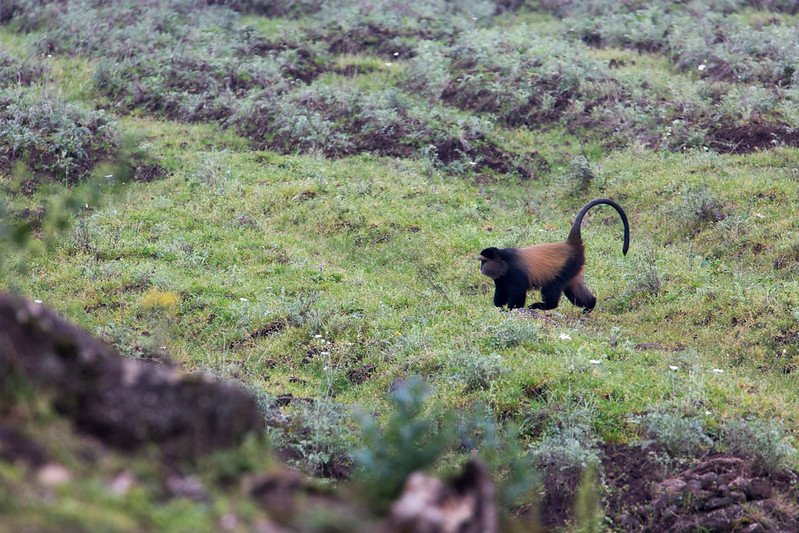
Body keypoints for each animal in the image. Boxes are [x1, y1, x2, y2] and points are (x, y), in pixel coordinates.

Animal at [478, 198, 629, 313]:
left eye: (484, 261)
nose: (481, 268)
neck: (504, 261)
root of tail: (570, 246)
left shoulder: (516, 274)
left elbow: (517, 295)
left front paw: (510, 311)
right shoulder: (501, 278)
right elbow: (501, 294)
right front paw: (499, 307)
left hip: (564, 270)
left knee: (552, 288)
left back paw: (544, 306)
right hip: (573, 272)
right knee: (575, 291)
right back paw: (589, 305)